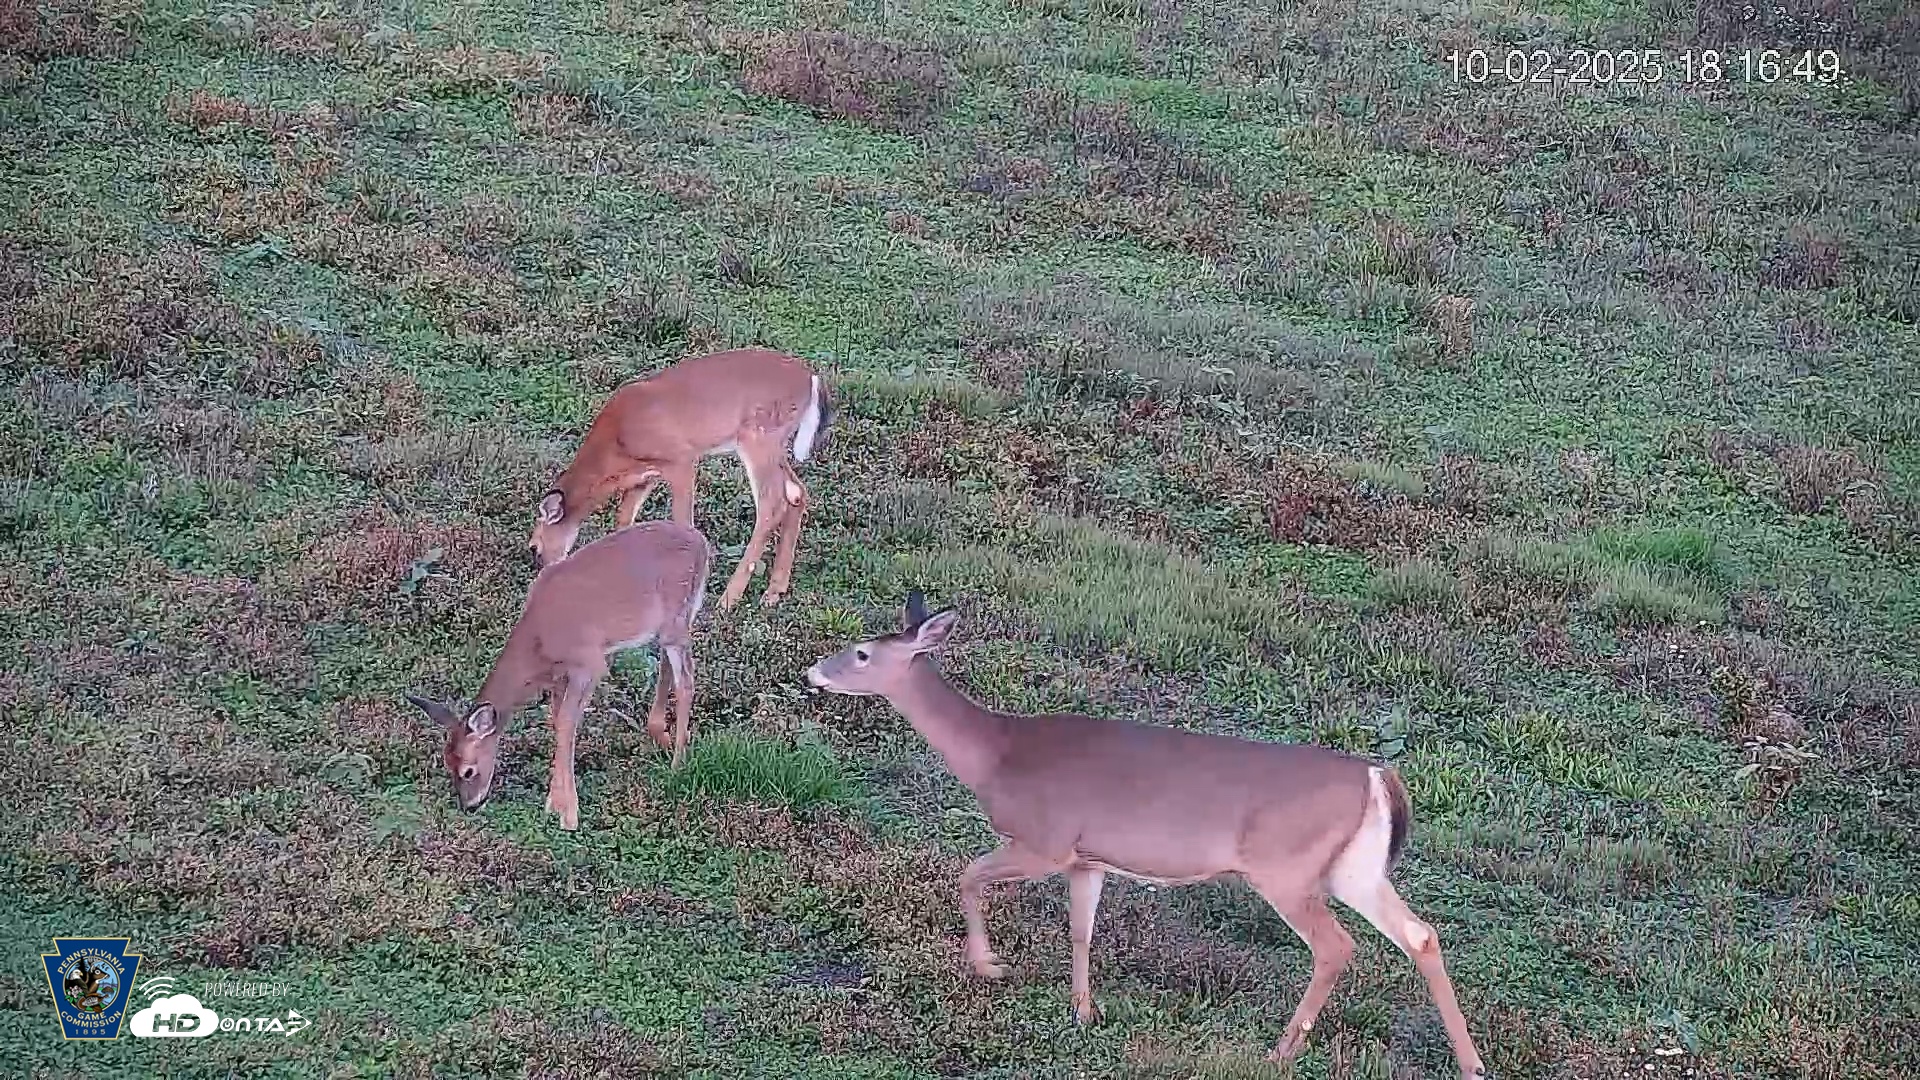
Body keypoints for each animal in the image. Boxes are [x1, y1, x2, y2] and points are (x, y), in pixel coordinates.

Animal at [406, 520, 712, 831]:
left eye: (468, 771)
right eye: (446, 763)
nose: (469, 805)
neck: (540, 641)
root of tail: (702, 543)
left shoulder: (589, 663)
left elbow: (567, 723)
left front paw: (569, 815)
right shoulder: (560, 675)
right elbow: (557, 722)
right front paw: (554, 803)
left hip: (675, 621)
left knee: (687, 681)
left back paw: (676, 766)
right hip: (668, 627)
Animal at [527, 346, 832, 611]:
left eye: (534, 548)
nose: (545, 574)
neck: (616, 445)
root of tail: (811, 378)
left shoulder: (682, 459)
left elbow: (683, 522)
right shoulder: (645, 476)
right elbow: (624, 521)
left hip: (759, 436)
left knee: (772, 504)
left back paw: (729, 599)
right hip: (775, 446)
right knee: (797, 492)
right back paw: (773, 591)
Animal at [802, 592, 1487, 1079]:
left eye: (861, 653)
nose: (814, 672)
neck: (996, 755)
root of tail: (1378, 776)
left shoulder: (1044, 838)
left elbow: (966, 875)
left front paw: (989, 965)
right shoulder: (1087, 857)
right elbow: (1081, 929)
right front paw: (1083, 1011)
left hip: (1285, 869)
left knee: (1336, 946)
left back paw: (1282, 1050)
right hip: (1354, 867)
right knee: (1421, 934)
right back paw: (1470, 1063)